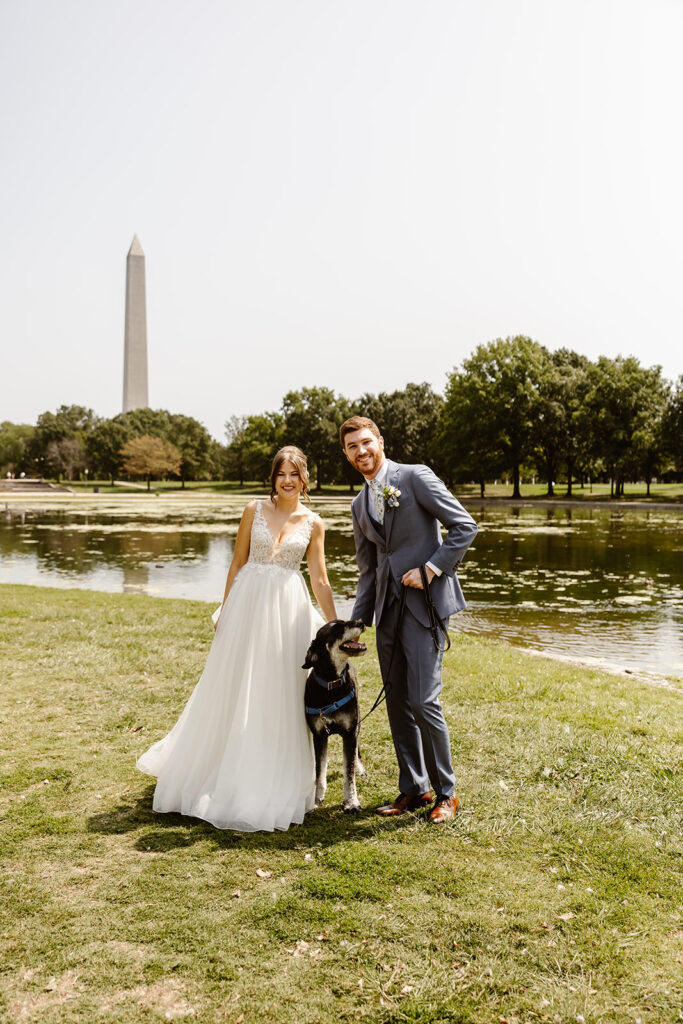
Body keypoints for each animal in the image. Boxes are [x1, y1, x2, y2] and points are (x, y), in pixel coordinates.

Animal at [303, 618, 368, 811]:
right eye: (338, 627)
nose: (361, 621)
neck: (332, 683)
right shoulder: (319, 735)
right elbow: (320, 770)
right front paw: (316, 798)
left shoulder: (349, 733)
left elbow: (349, 772)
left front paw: (351, 802)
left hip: (357, 724)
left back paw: (360, 768)